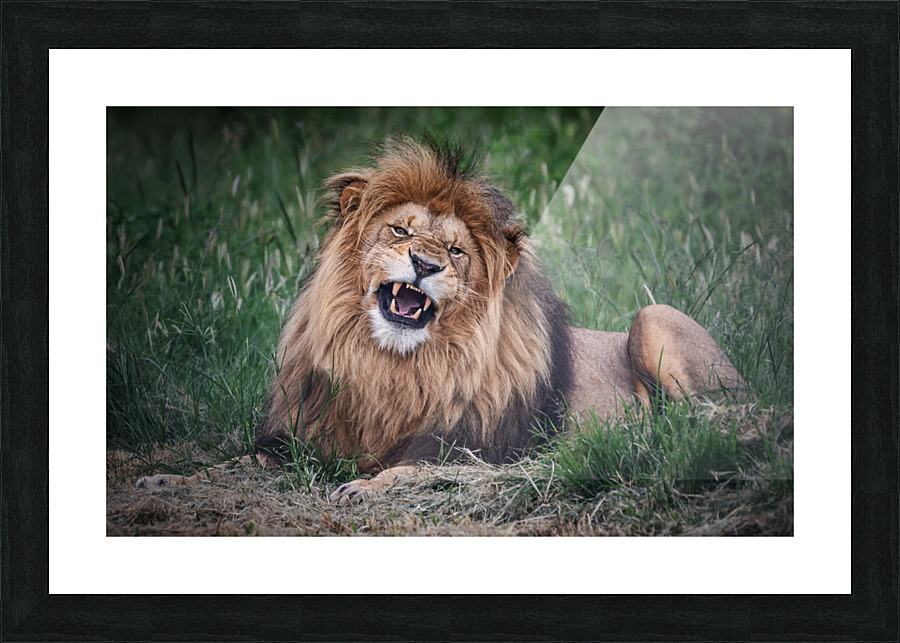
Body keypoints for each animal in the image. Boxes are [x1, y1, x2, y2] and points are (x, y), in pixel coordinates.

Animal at [135, 135, 748, 502]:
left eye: (454, 252)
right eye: (399, 231)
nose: (425, 264)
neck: (388, 366)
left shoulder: (479, 447)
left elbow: (410, 468)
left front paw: (363, 489)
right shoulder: (297, 439)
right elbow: (229, 464)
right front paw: (164, 478)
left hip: (654, 317)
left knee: (722, 416)